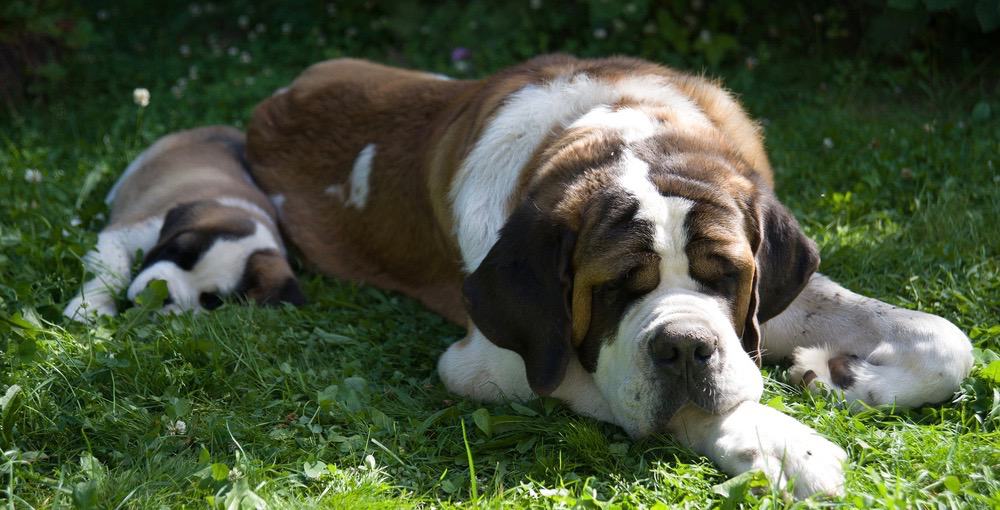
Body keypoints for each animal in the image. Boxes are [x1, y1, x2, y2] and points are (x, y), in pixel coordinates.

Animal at [64, 125, 302, 320]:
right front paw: (90, 308)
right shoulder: (122, 234)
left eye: (211, 301)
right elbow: (113, 270)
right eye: (179, 254)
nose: (162, 293)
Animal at [246, 56, 972, 498]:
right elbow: (648, 392)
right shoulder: (492, 363)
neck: (627, 137)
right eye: (618, 288)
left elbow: (946, 340)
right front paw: (784, 444)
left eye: (723, 275)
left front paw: (839, 374)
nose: (686, 346)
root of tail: (275, 103)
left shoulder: (769, 298)